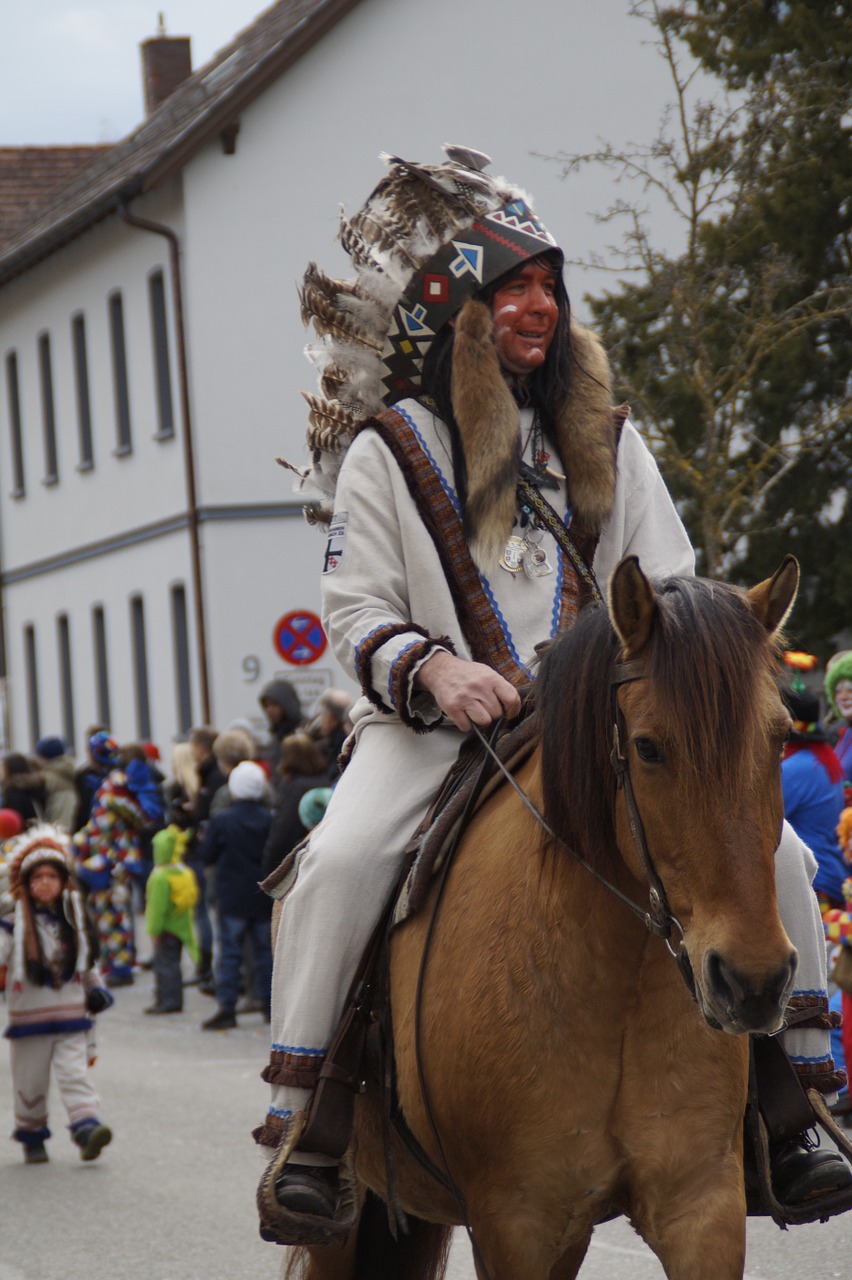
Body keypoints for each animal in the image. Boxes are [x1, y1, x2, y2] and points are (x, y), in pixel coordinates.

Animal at [281, 558, 793, 1280]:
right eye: (647, 748)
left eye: (782, 738)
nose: (753, 983)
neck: (617, 986)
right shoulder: (516, 1221)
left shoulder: (701, 1204)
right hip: (348, 1216)